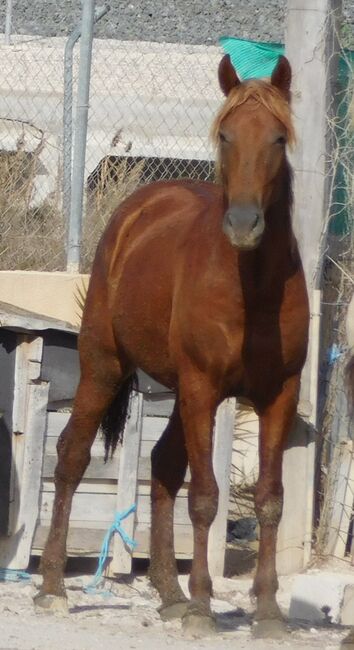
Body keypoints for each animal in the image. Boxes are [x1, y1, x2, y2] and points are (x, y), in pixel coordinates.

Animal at [34, 54, 308, 632]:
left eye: (278, 138)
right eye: (225, 134)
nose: (244, 224)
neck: (252, 287)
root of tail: (139, 204)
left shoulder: (279, 394)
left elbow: (270, 500)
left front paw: (268, 610)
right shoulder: (204, 387)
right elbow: (204, 497)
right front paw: (204, 605)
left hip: (178, 392)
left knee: (161, 465)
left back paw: (168, 591)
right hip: (105, 365)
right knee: (71, 457)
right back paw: (52, 586)